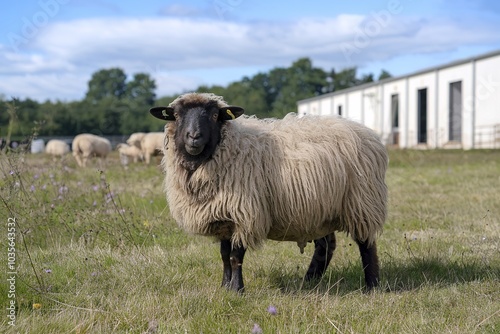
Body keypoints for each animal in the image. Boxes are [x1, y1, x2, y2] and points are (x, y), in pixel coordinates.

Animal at [150, 92, 388, 290]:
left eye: (215, 114)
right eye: (176, 115)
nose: (194, 137)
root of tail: (365, 131)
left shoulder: (245, 214)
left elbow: (236, 256)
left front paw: (237, 290)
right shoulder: (222, 215)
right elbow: (224, 256)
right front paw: (224, 287)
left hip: (362, 202)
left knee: (366, 244)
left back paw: (372, 285)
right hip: (320, 209)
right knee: (326, 247)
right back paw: (308, 281)